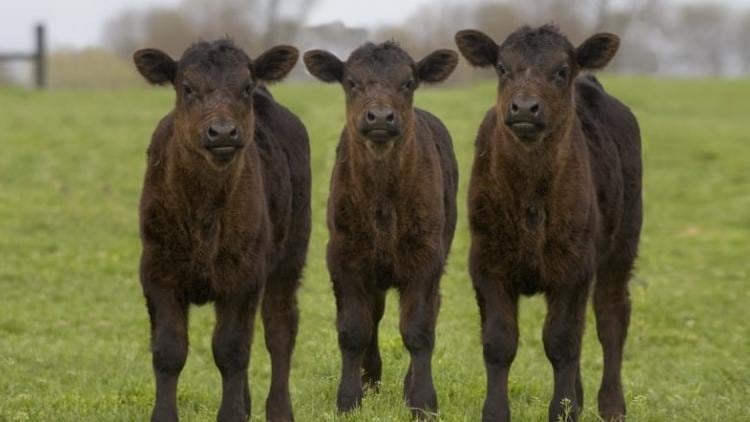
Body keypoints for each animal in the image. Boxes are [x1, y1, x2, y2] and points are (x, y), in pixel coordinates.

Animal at [134, 38, 312, 420]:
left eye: (244, 87)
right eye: (187, 87)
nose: (224, 132)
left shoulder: (245, 275)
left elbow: (231, 350)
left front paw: (231, 414)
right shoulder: (156, 271)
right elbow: (169, 350)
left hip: (290, 255)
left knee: (279, 329)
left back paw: (278, 409)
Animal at [304, 41, 458, 418]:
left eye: (408, 82)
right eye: (351, 82)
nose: (380, 117)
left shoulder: (427, 258)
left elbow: (418, 330)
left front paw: (422, 402)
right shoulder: (343, 256)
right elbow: (353, 329)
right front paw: (349, 399)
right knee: (374, 315)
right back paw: (371, 379)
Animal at [458, 24, 648, 420]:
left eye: (561, 70)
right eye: (502, 68)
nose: (524, 107)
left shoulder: (573, 266)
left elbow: (561, 342)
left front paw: (563, 411)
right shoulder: (486, 263)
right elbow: (499, 341)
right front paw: (496, 412)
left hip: (623, 243)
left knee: (611, 317)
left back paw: (612, 405)